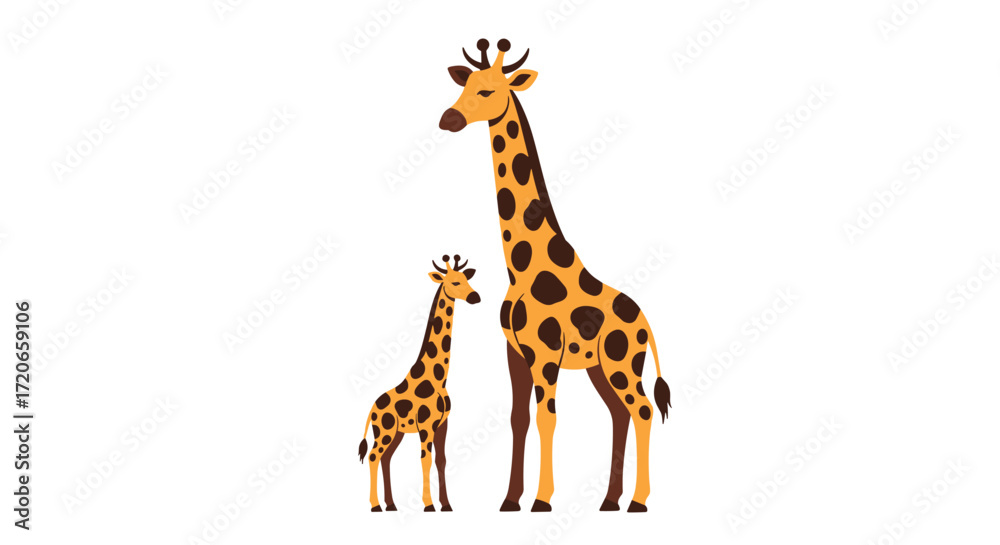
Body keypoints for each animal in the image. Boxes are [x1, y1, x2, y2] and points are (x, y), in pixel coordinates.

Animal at [358, 255, 480, 512]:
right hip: (384, 430)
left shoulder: (442, 424)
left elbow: (441, 460)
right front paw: (429, 505)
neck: (438, 378)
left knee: (386, 458)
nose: (475, 297)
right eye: (454, 282)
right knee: (374, 456)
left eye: (466, 279)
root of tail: (372, 410)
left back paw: (391, 505)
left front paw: (446, 504)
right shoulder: (426, 425)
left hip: (396, 433)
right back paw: (375, 506)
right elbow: (425, 460)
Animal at [438, 39, 671, 513]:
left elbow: (548, 418)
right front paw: (510, 499)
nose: (447, 119)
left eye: (489, 91)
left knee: (641, 410)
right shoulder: (515, 352)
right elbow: (519, 418)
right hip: (601, 367)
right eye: (464, 85)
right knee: (619, 413)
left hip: (622, 363)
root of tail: (645, 325)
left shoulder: (546, 354)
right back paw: (610, 500)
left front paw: (542, 500)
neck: (522, 266)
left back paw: (638, 502)